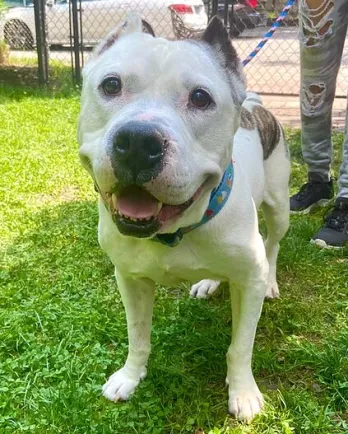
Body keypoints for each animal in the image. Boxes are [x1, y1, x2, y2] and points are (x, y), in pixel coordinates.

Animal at [79, 15, 290, 422]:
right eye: (111, 85)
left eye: (200, 98)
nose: (138, 141)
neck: (175, 230)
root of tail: (255, 103)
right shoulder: (130, 279)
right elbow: (137, 336)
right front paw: (130, 376)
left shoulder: (248, 281)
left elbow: (240, 346)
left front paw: (243, 392)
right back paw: (208, 282)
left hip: (279, 207)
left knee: (273, 243)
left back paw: (272, 279)